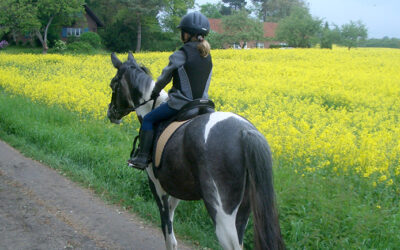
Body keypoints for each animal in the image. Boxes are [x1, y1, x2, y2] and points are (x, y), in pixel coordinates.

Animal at [106, 52, 284, 250]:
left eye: (113, 84)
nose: (111, 113)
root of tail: (244, 131)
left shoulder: (157, 187)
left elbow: (168, 233)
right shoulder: (176, 188)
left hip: (222, 213)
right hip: (244, 210)